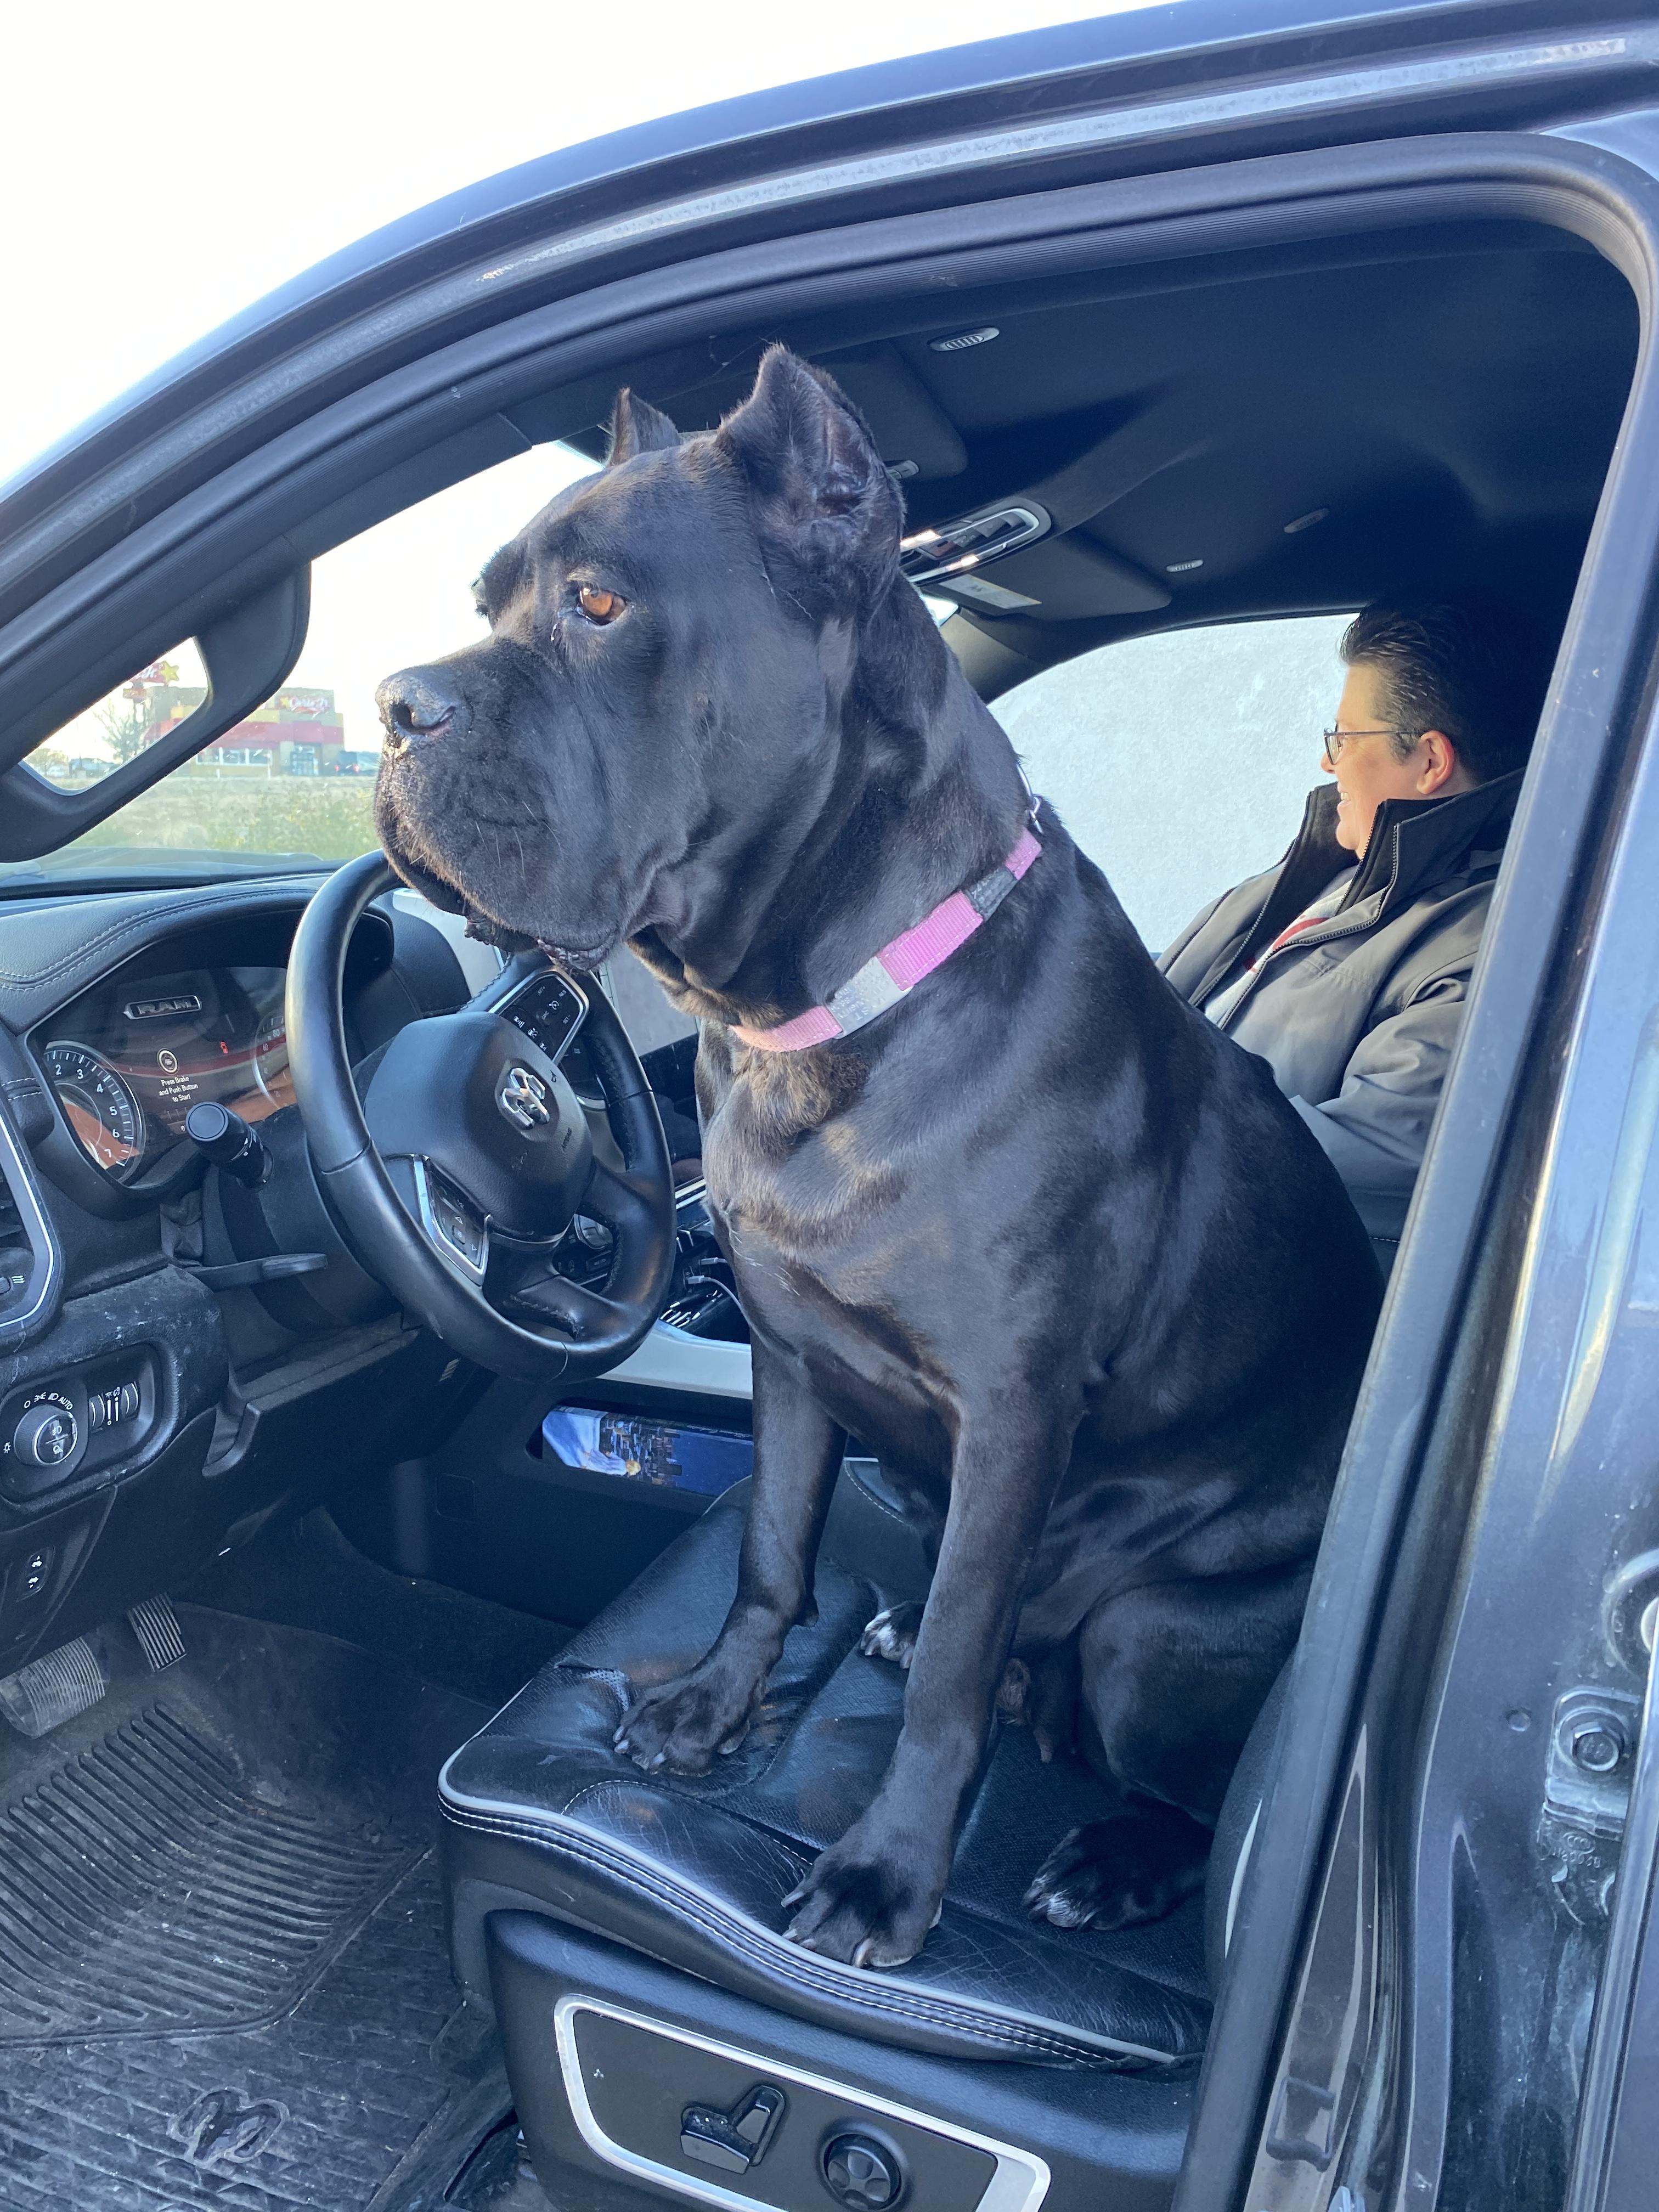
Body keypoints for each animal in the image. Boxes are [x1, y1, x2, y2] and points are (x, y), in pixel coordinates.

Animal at [373, 346, 1382, 1969]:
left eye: (598, 605)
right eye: (488, 602)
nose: (399, 705)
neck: (832, 1006)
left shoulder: (1011, 1412)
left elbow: (957, 1673)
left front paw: (889, 1872)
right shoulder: (792, 1358)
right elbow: (771, 1556)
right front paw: (714, 1709)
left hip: (1158, 1628)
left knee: (1166, 1769)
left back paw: (1108, 1860)